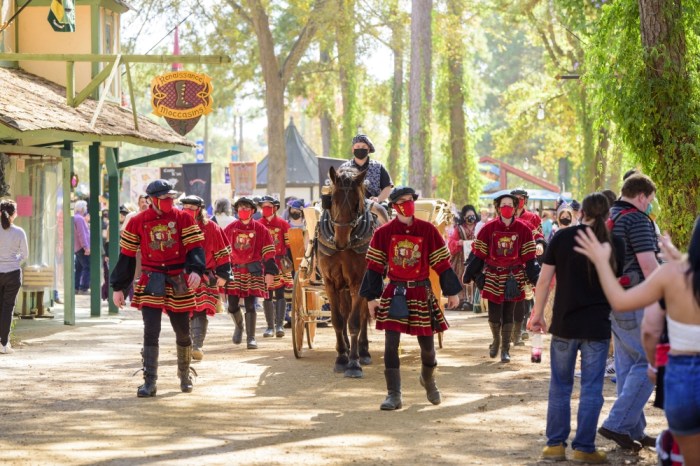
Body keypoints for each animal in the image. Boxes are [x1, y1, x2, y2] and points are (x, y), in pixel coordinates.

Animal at [318, 166, 388, 376]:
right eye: (332, 199)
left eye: (357, 202)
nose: (341, 241)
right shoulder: (330, 282)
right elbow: (338, 320)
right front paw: (341, 357)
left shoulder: (359, 282)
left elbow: (355, 321)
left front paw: (354, 362)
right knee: (344, 312)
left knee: (362, 314)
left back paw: (363, 351)